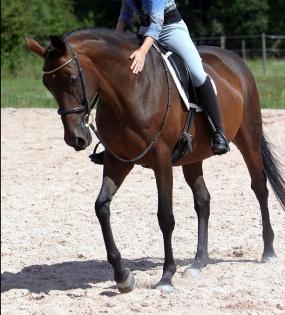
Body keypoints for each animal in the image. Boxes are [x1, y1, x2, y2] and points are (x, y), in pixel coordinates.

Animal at [25, 28, 282, 296]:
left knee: (259, 188)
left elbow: (165, 217)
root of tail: (235, 61)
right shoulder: (118, 161)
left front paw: (166, 277)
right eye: (47, 84)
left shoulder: (162, 160)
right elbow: (101, 207)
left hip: (248, 139)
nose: (75, 139)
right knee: (203, 201)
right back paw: (198, 262)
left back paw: (268, 251)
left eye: (73, 78)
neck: (129, 90)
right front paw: (122, 276)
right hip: (193, 158)